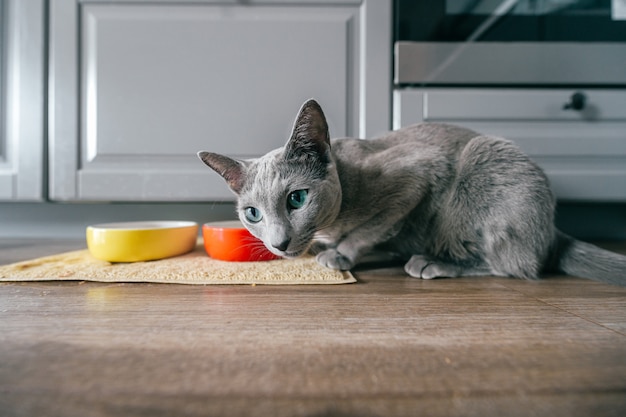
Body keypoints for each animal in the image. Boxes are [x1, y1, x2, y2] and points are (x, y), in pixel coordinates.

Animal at [199, 99, 624, 284]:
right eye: (253, 214)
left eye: (297, 199)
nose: (280, 243)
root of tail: (554, 230)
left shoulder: (417, 175)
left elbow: (370, 228)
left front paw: (340, 255)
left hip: (482, 161)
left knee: (517, 265)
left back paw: (433, 262)